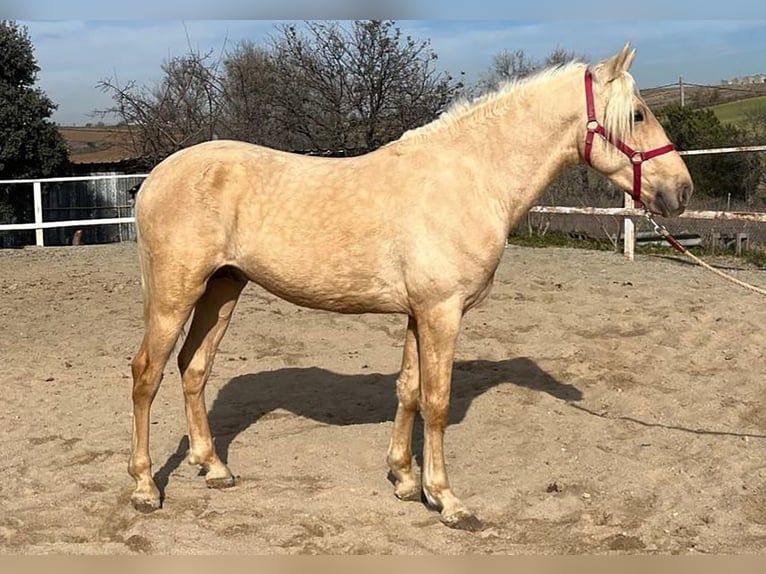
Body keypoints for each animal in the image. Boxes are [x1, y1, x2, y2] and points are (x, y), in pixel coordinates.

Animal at [129, 44, 692, 532]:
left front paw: (403, 480)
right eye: (637, 115)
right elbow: (436, 402)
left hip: (222, 288)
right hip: (176, 295)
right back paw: (144, 488)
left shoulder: (418, 313)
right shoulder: (442, 311)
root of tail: (156, 176)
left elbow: (408, 390)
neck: (470, 178)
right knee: (147, 374)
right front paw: (446, 499)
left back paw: (213, 467)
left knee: (194, 367)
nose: (681, 190)